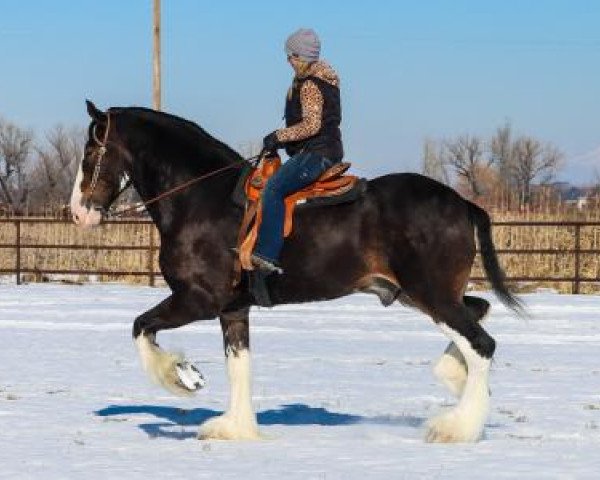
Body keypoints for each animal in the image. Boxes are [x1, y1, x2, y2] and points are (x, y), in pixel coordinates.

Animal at [69, 100, 520, 442]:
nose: (77, 212)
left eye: (91, 153)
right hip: (416, 293)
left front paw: (185, 378)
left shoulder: (199, 299)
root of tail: (462, 203)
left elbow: (141, 328)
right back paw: (460, 387)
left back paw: (456, 427)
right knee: (477, 314)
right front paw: (235, 428)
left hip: (432, 295)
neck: (200, 198)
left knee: (481, 344)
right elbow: (239, 365)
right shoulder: (233, 309)